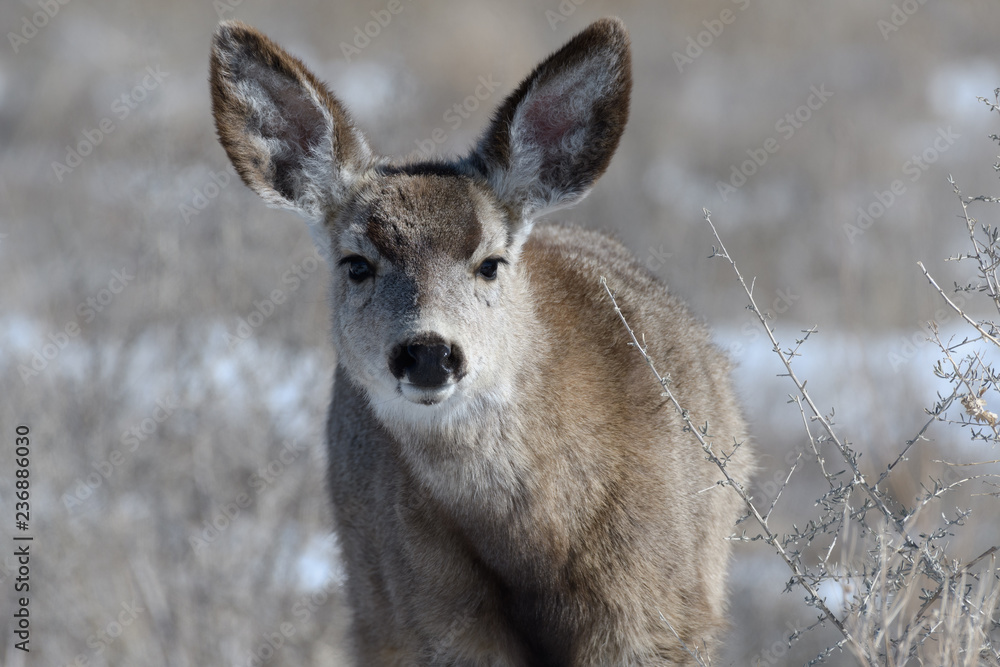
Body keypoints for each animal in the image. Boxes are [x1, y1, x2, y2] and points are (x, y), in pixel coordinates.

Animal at [210, 16, 753, 666]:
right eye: (357, 263)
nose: (428, 352)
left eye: (490, 262)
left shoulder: (658, 612)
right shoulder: (435, 619)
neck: (536, 542)